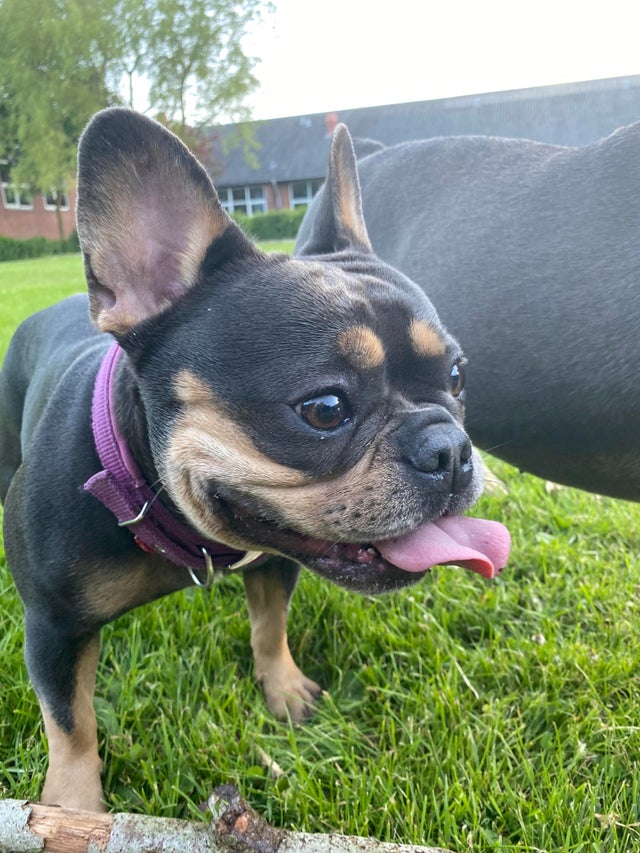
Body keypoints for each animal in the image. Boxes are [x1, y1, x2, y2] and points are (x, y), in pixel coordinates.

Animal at [0, 110, 510, 808]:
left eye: (457, 377)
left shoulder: (275, 562)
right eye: (324, 408)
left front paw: (284, 689)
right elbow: (71, 724)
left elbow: (270, 627)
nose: (450, 448)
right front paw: (73, 808)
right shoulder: (53, 627)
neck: (163, 507)